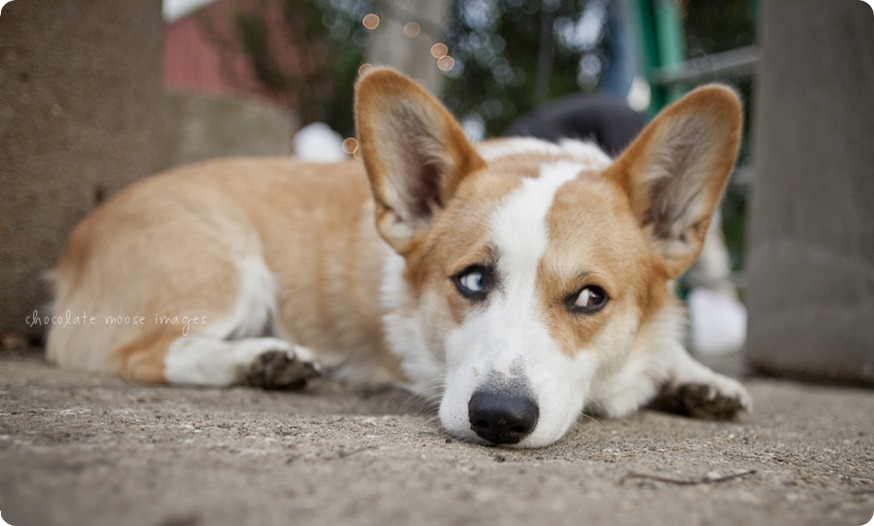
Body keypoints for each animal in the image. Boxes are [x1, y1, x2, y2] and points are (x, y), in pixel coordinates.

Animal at [46, 68, 748, 450]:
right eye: (472, 279)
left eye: (590, 297)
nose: (499, 419)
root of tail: (76, 240)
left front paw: (697, 378)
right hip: (230, 268)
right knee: (148, 353)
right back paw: (261, 359)